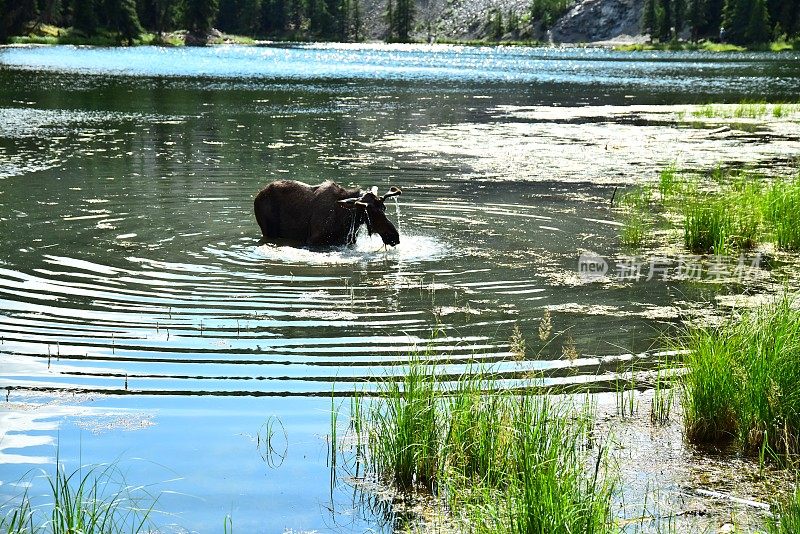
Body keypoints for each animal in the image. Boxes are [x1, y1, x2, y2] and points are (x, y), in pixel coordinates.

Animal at [253, 180, 404, 247]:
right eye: (370, 212)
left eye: (384, 208)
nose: (394, 236)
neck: (346, 220)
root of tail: (258, 195)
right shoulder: (313, 241)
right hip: (267, 230)